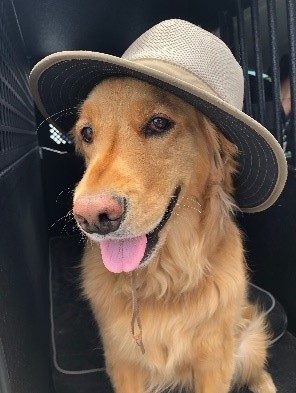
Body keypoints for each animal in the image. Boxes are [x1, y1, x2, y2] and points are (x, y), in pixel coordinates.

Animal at [71, 77, 276, 392]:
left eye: (158, 123)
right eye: (87, 132)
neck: (164, 281)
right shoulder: (122, 361)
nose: (92, 217)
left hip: (250, 340)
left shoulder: (215, 361)